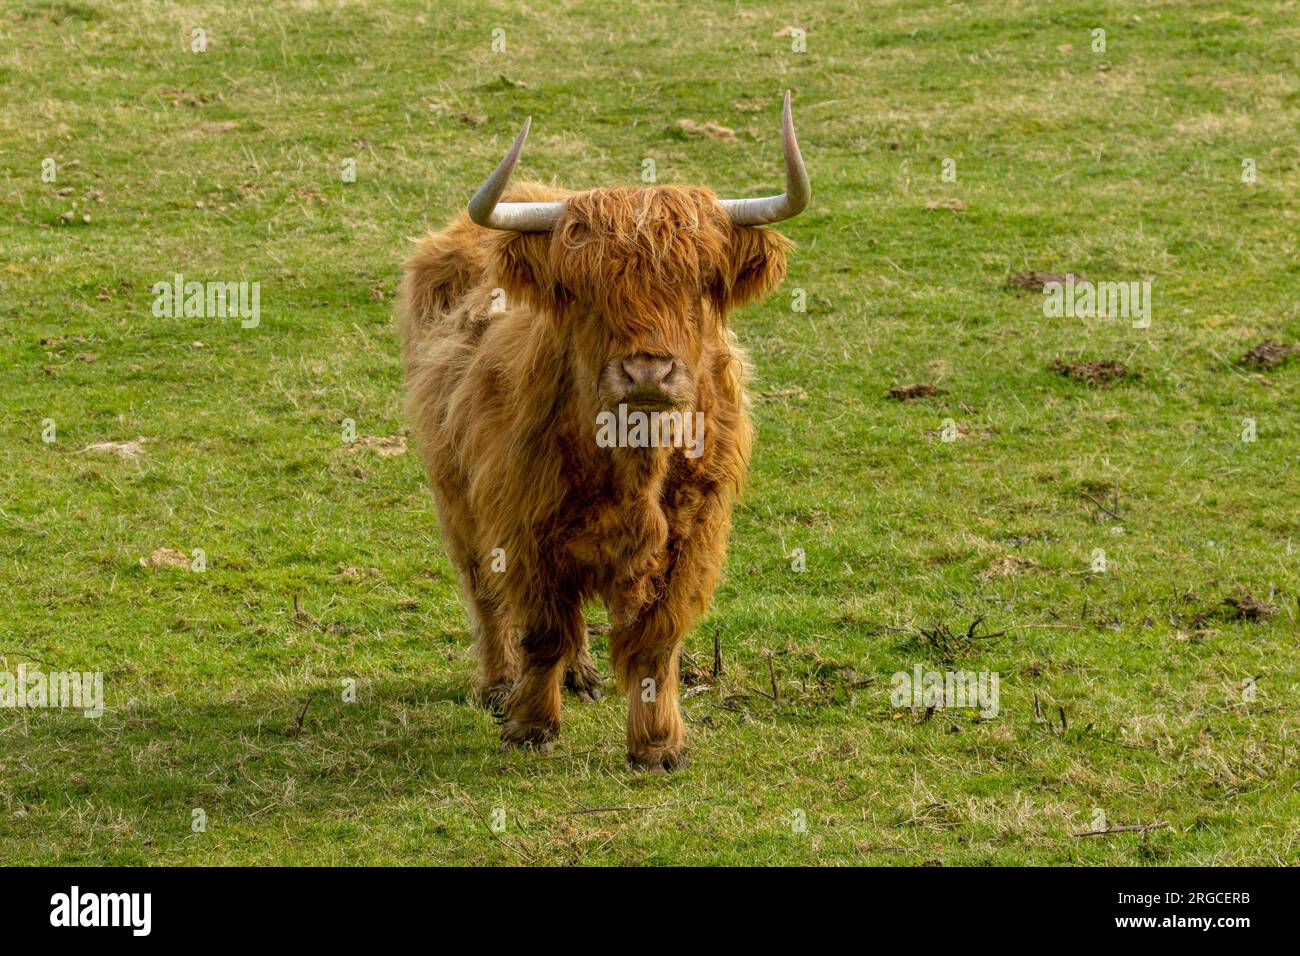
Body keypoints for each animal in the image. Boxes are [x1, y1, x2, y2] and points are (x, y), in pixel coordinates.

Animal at [398, 92, 808, 770]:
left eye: (699, 283)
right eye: (582, 289)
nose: (647, 370)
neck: (634, 463)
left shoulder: (693, 536)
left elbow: (655, 642)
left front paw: (658, 744)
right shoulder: (524, 526)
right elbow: (541, 630)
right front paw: (530, 726)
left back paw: (582, 676)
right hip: (455, 494)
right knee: (485, 593)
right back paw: (498, 685)